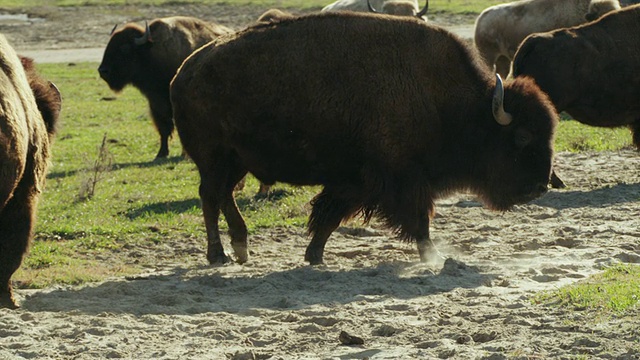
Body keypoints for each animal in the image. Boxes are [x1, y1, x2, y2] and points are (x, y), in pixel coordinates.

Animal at [97, 15, 232, 159]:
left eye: (125, 48)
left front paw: (184, 154)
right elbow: (164, 127)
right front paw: (161, 153)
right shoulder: (156, 102)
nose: (103, 70)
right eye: (110, 44)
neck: (151, 51)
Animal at [171, 11, 560, 264]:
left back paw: (241, 248)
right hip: (215, 158)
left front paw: (314, 255)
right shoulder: (402, 179)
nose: (540, 186)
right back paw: (219, 255)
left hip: (236, 160)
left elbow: (330, 214)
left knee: (223, 196)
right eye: (522, 136)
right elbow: (418, 220)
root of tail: (184, 72)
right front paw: (434, 257)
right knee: (210, 196)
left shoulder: (355, 180)